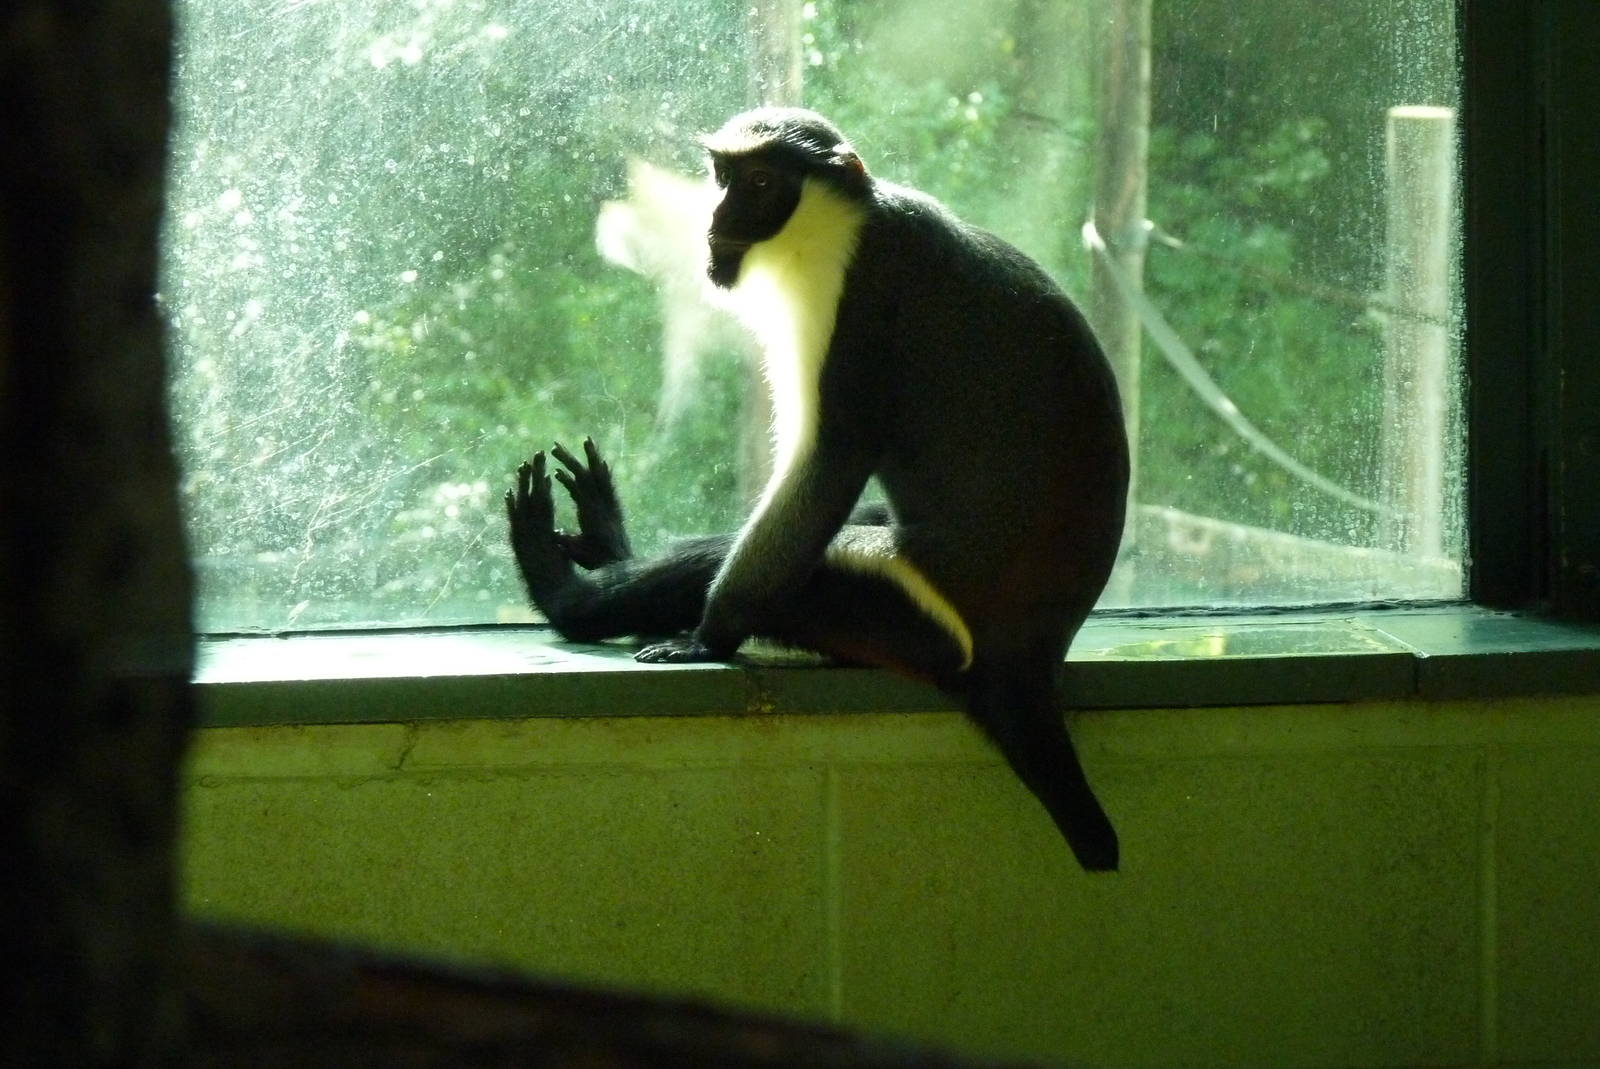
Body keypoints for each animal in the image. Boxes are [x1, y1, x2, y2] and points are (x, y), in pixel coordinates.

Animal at [507, 108, 1129, 871]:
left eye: (760, 182)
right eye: (722, 176)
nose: (717, 215)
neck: (848, 213)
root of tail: (1029, 658)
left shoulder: (855, 300)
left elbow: (829, 462)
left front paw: (707, 636)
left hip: (899, 612)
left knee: (755, 561)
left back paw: (560, 589)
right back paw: (602, 539)